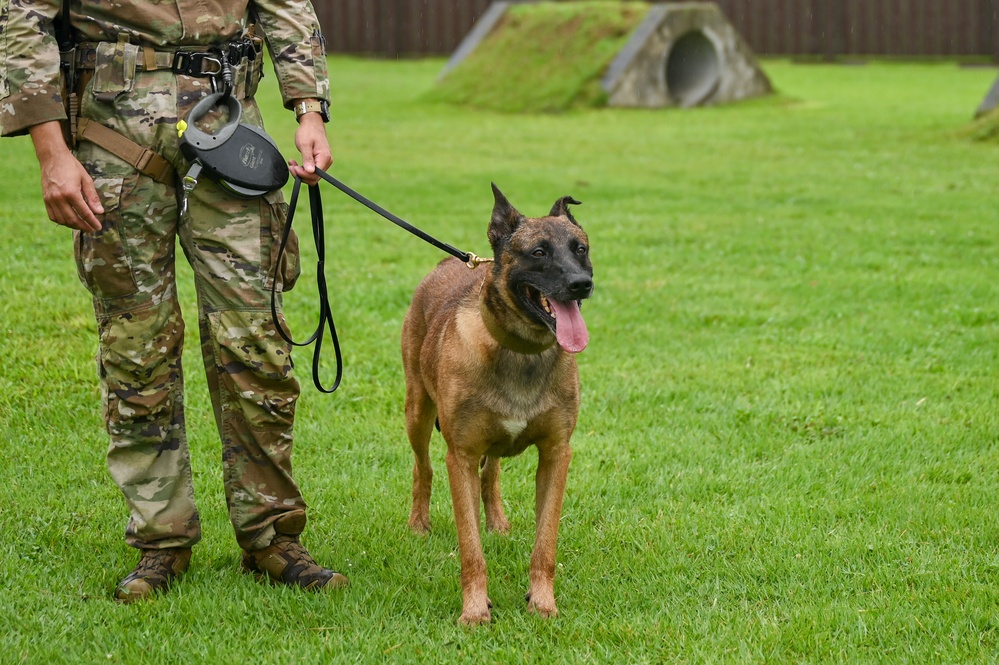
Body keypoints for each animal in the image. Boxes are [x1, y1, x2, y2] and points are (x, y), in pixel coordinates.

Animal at [400, 185, 592, 624]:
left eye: (580, 249)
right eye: (538, 252)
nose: (582, 284)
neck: (521, 351)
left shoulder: (556, 454)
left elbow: (545, 545)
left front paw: (543, 603)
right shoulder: (461, 456)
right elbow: (471, 549)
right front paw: (474, 611)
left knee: (492, 473)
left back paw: (498, 521)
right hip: (417, 411)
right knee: (423, 467)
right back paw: (419, 523)